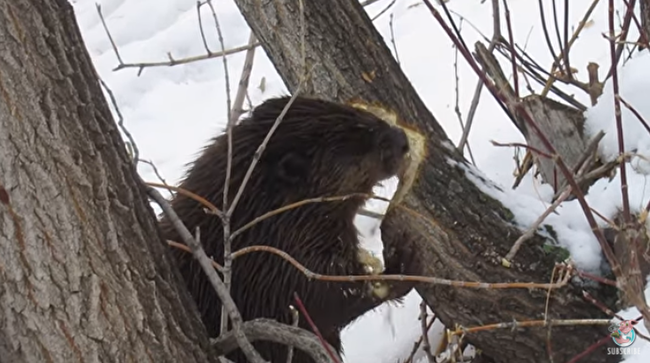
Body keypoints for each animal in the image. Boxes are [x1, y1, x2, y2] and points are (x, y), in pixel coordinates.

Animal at [159, 95, 418, 362]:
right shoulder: (277, 262)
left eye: (362, 116)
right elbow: (327, 297)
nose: (402, 138)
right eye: (363, 143)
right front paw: (402, 260)